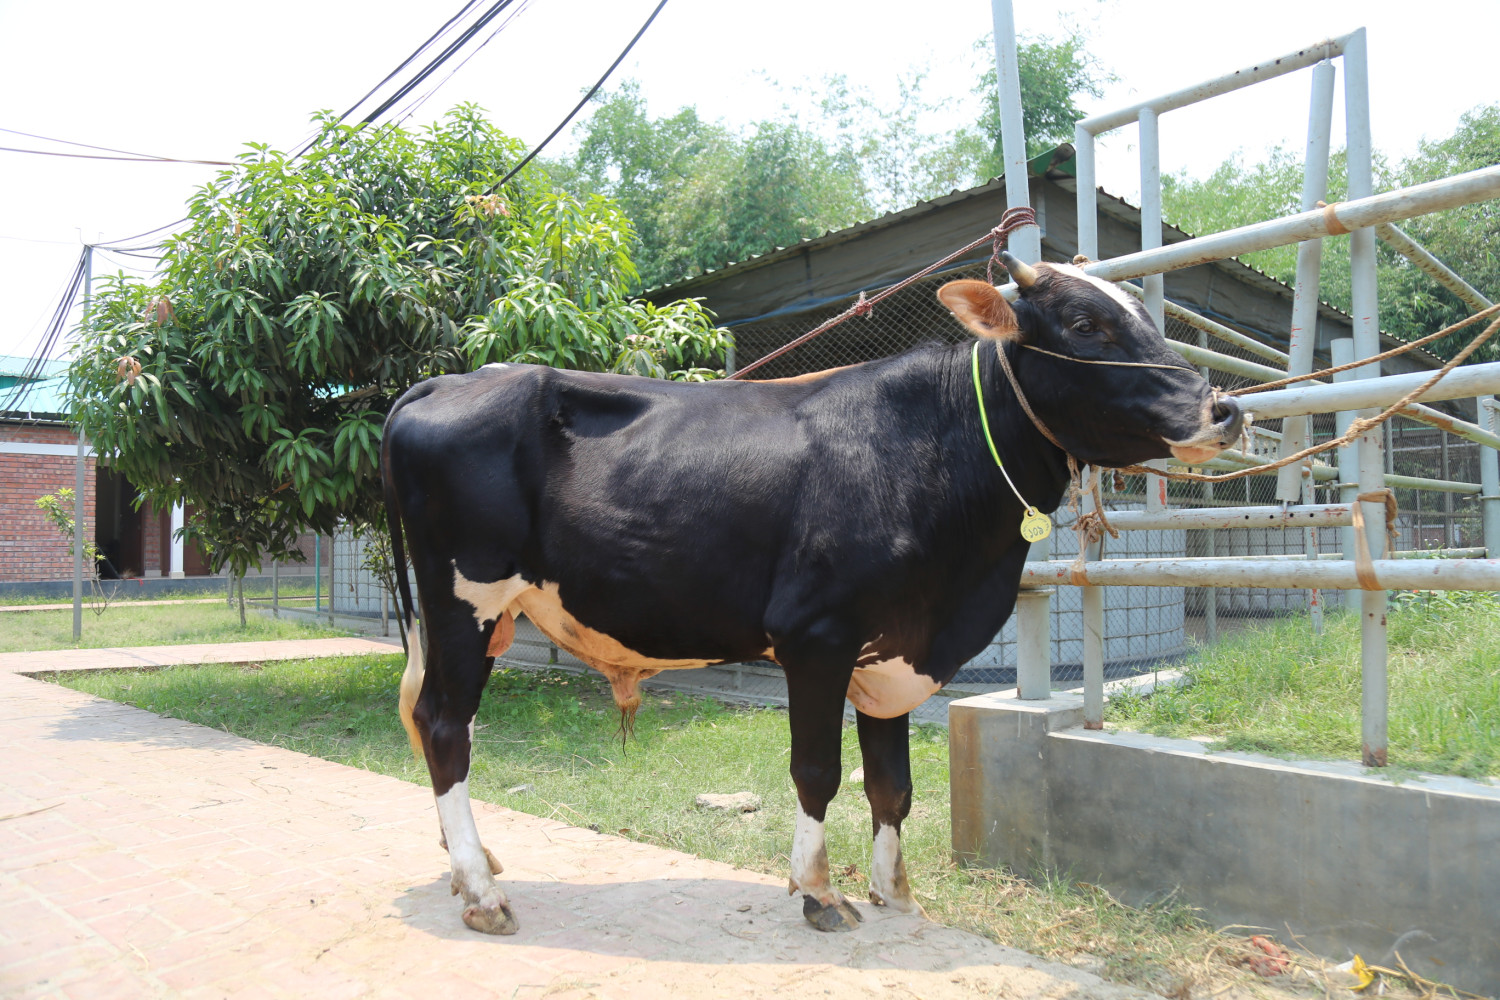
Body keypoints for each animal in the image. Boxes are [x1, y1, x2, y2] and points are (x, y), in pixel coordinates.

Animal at [380, 254, 1244, 936]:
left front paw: (897, 892)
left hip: (489, 615)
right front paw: (818, 892)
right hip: (465, 599)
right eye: (1082, 323)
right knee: (445, 724)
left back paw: (472, 864)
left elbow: (894, 785)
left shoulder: (893, 649)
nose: (1223, 408)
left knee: (436, 720)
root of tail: (452, 379)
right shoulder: (817, 637)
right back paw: (482, 892)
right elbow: (818, 772)